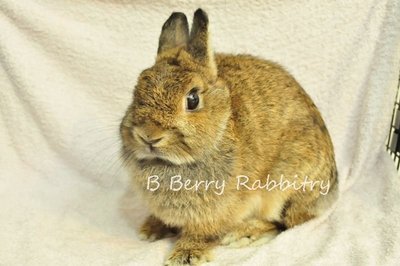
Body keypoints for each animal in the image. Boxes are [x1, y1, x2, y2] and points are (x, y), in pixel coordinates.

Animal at [119, 8, 338, 266]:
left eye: (192, 99)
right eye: (137, 90)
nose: (148, 136)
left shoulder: (216, 212)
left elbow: (201, 233)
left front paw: (185, 255)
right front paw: (151, 230)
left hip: (283, 187)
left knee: (284, 223)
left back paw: (243, 234)